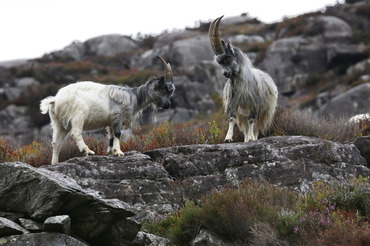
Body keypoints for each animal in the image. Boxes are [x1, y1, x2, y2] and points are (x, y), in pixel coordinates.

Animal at [39, 55, 176, 163]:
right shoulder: (117, 117)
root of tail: (55, 99)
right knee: (76, 133)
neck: (132, 97)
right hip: (78, 114)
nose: (168, 105)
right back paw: (88, 151)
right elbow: (118, 133)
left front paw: (111, 152)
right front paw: (119, 152)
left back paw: (54, 163)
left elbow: (111, 136)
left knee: (56, 143)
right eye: (164, 89)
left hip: (59, 122)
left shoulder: (110, 122)